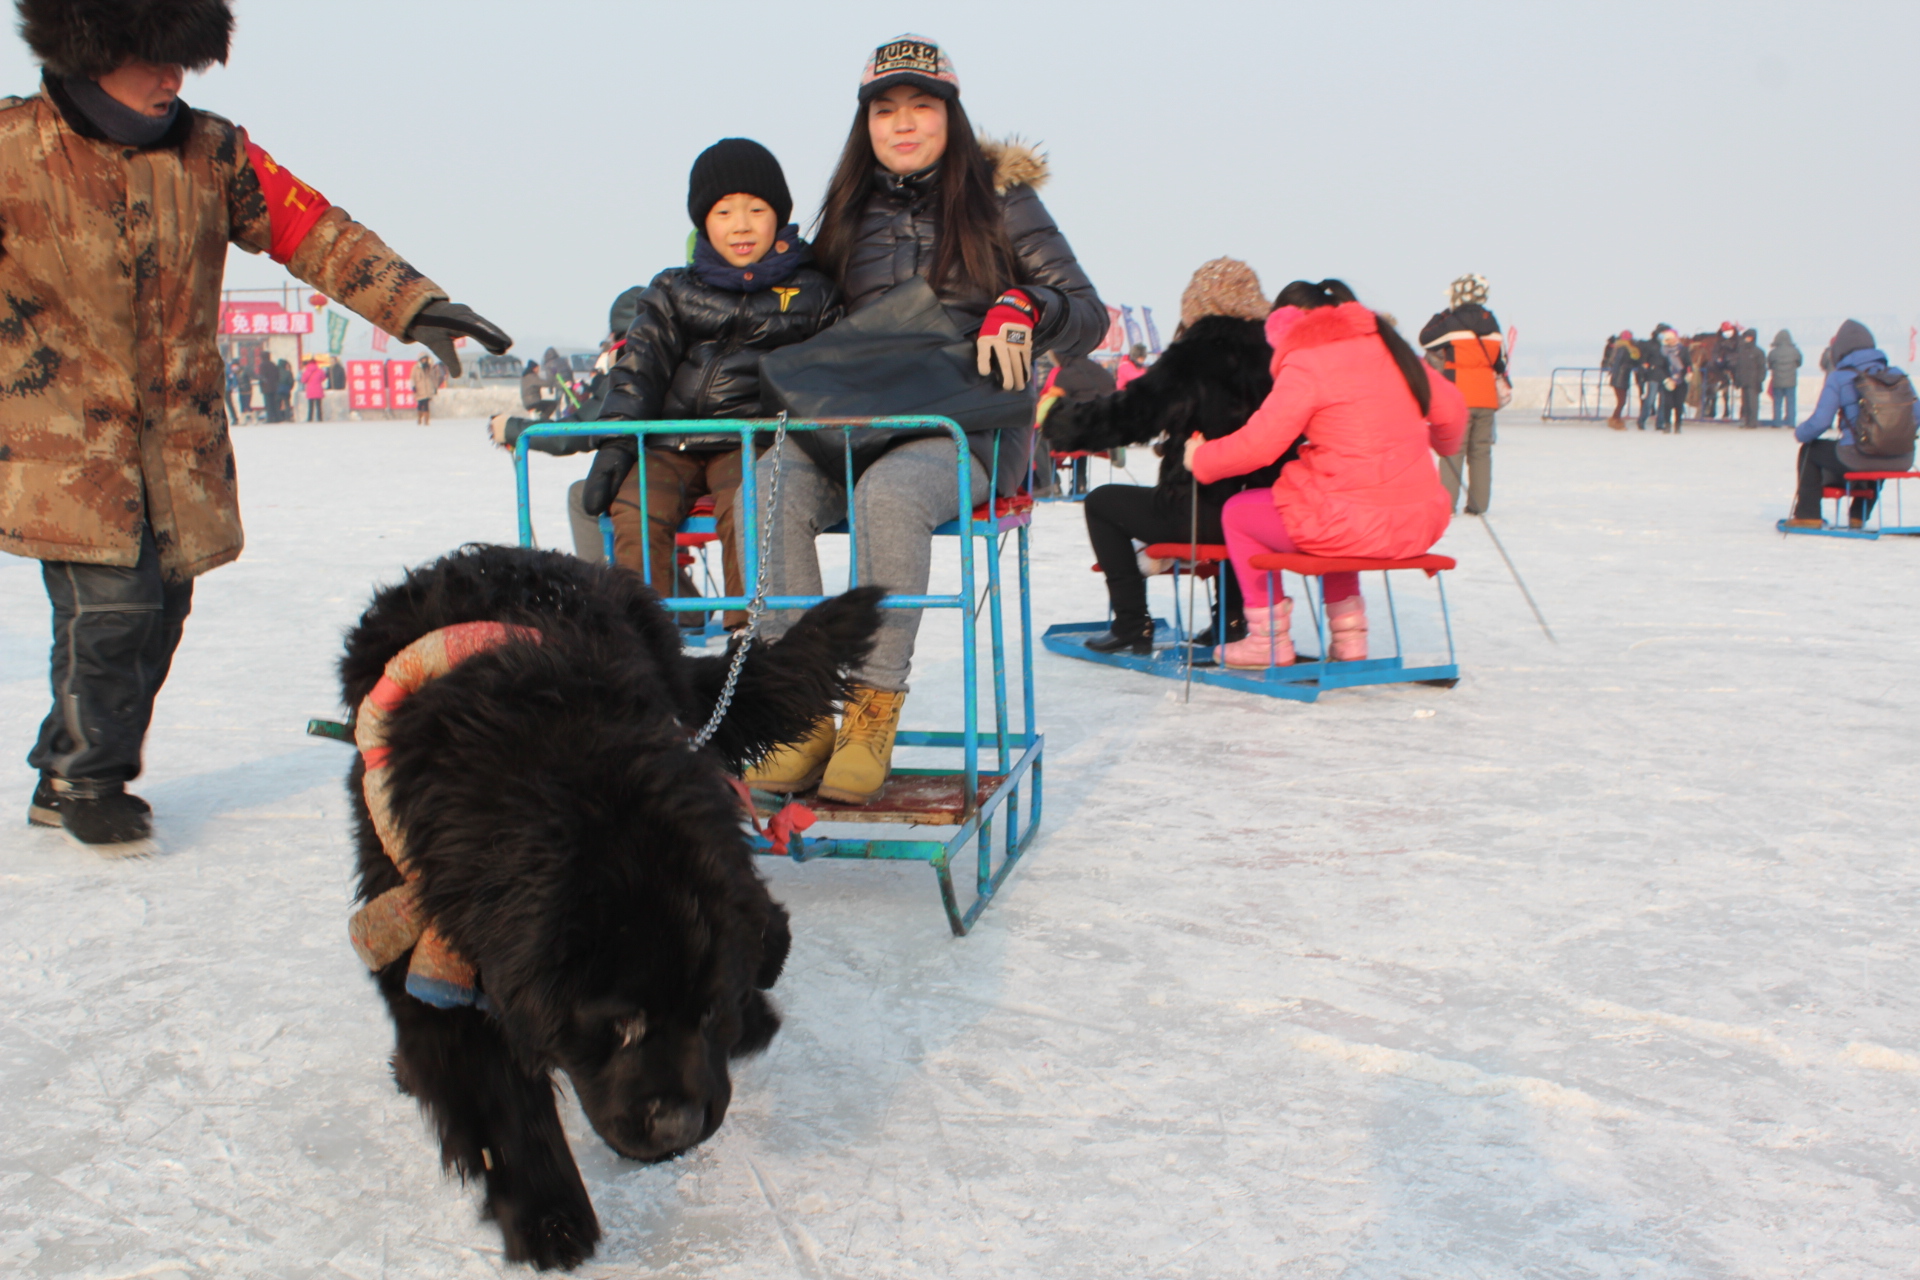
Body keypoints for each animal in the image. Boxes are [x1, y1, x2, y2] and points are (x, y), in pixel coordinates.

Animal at [341, 545, 879, 1274]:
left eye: (708, 1010)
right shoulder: (420, 933)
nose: (680, 1126)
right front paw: (550, 1216)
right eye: (618, 1024)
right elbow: (496, 1094)